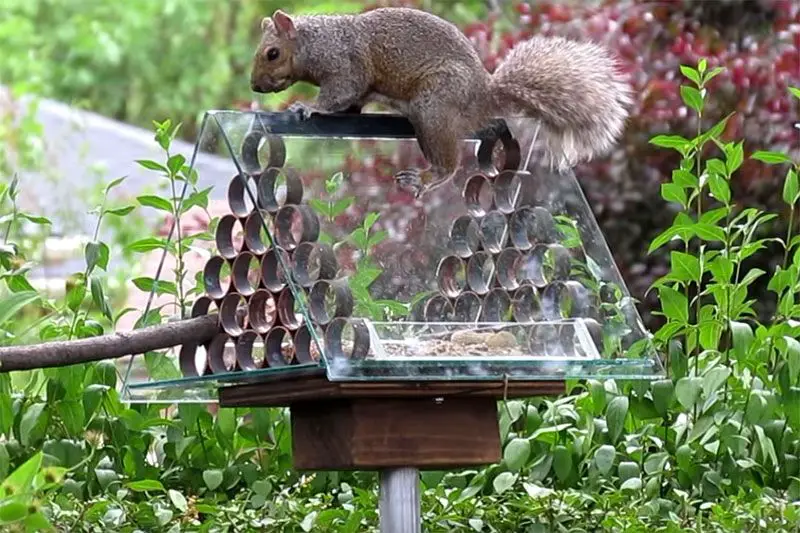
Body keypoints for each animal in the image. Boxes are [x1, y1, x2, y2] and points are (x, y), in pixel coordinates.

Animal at [247, 6, 636, 197]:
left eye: (272, 53)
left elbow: (340, 92)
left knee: (448, 165)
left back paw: (425, 178)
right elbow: (352, 103)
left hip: (433, 106)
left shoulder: (346, 66)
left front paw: (307, 107)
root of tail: (483, 95)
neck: (316, 42)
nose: (254, 86)